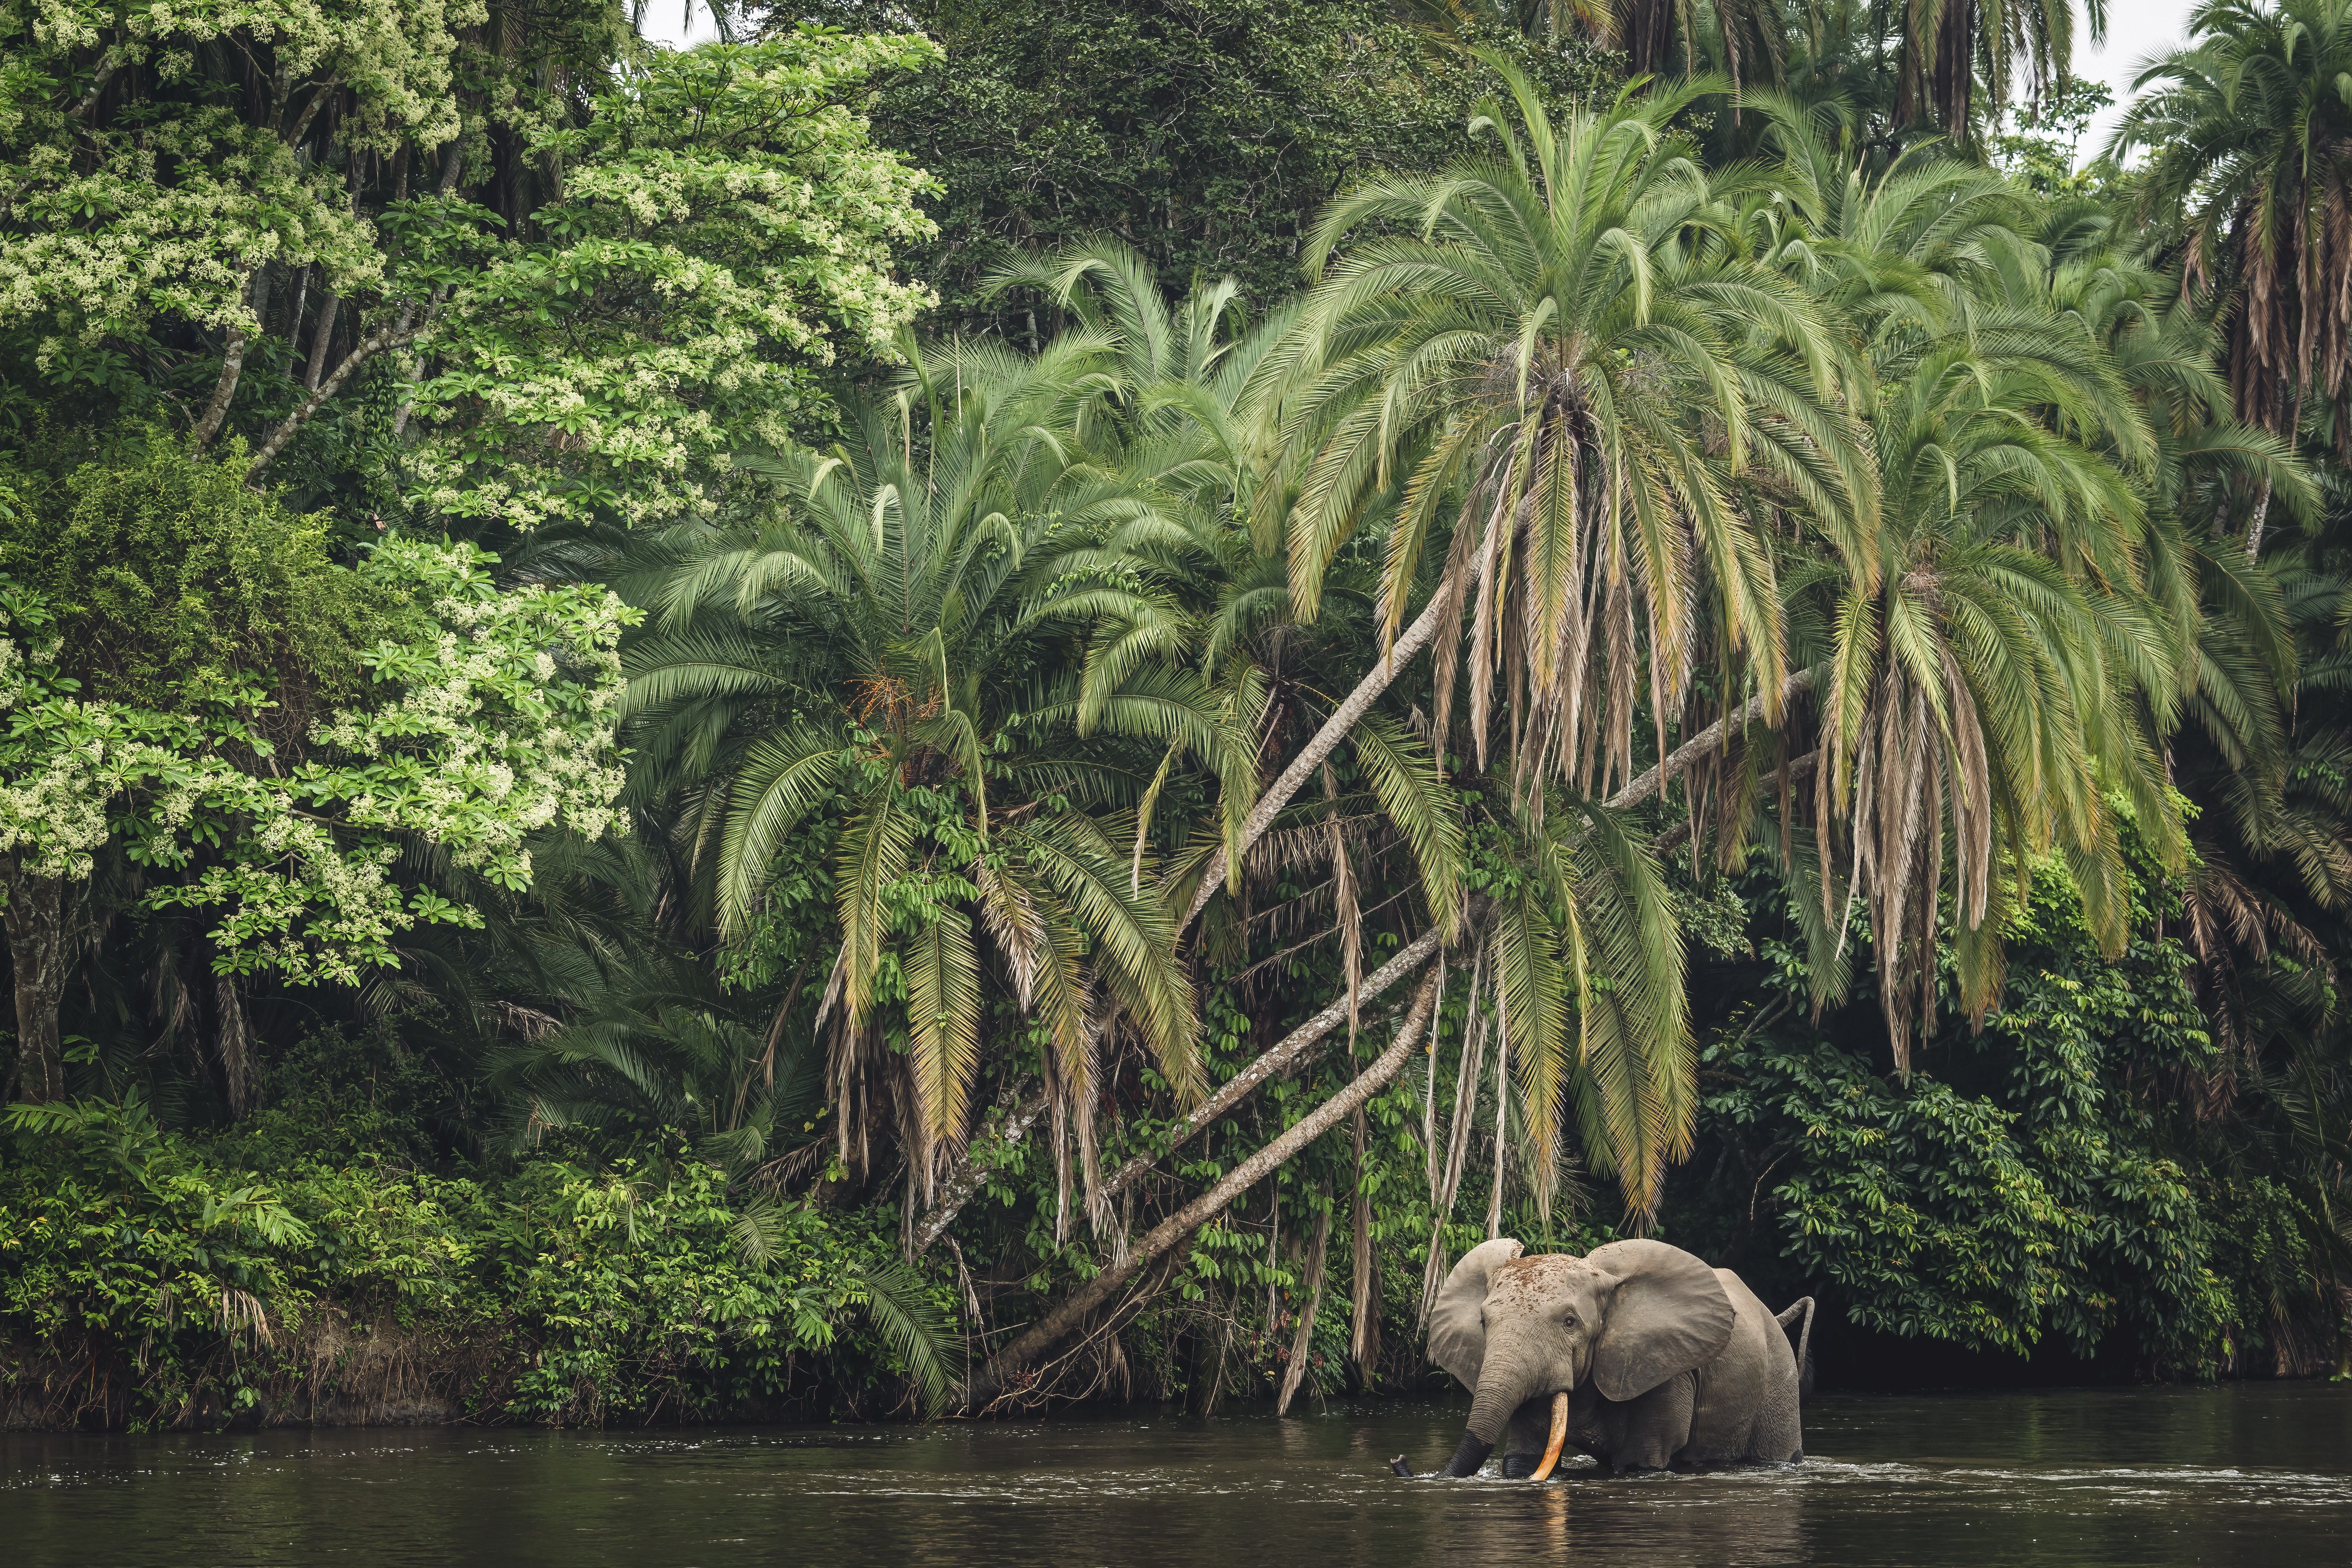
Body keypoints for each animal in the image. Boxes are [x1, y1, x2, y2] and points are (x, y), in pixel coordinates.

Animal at [1391, 1237, 1814, 1480]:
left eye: (1569, 1322)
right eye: (1483, 1321)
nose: (1399, 1461)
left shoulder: (1666, 1368)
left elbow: (1642, 1462)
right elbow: (1523, 1459)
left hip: (1778, 1381)